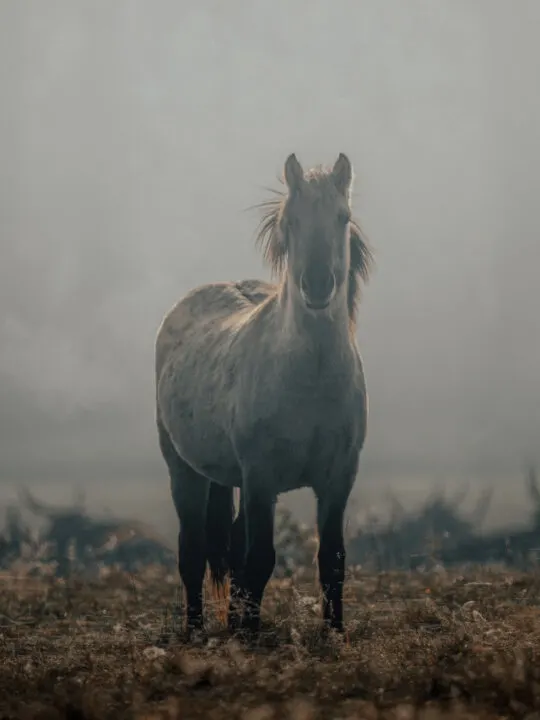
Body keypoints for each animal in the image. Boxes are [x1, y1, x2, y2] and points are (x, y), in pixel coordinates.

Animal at [155, 153, 373, 637]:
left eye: (342, 217)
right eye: (291, 221)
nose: (317, 284)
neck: (310, 380)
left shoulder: (340, 479)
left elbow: (332, 560)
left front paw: (335, 633)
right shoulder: (260, 478)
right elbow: (259, 559)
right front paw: (249, 636)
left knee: (231, 546)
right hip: (185, 470)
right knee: (193, 550)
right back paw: (197, 629)